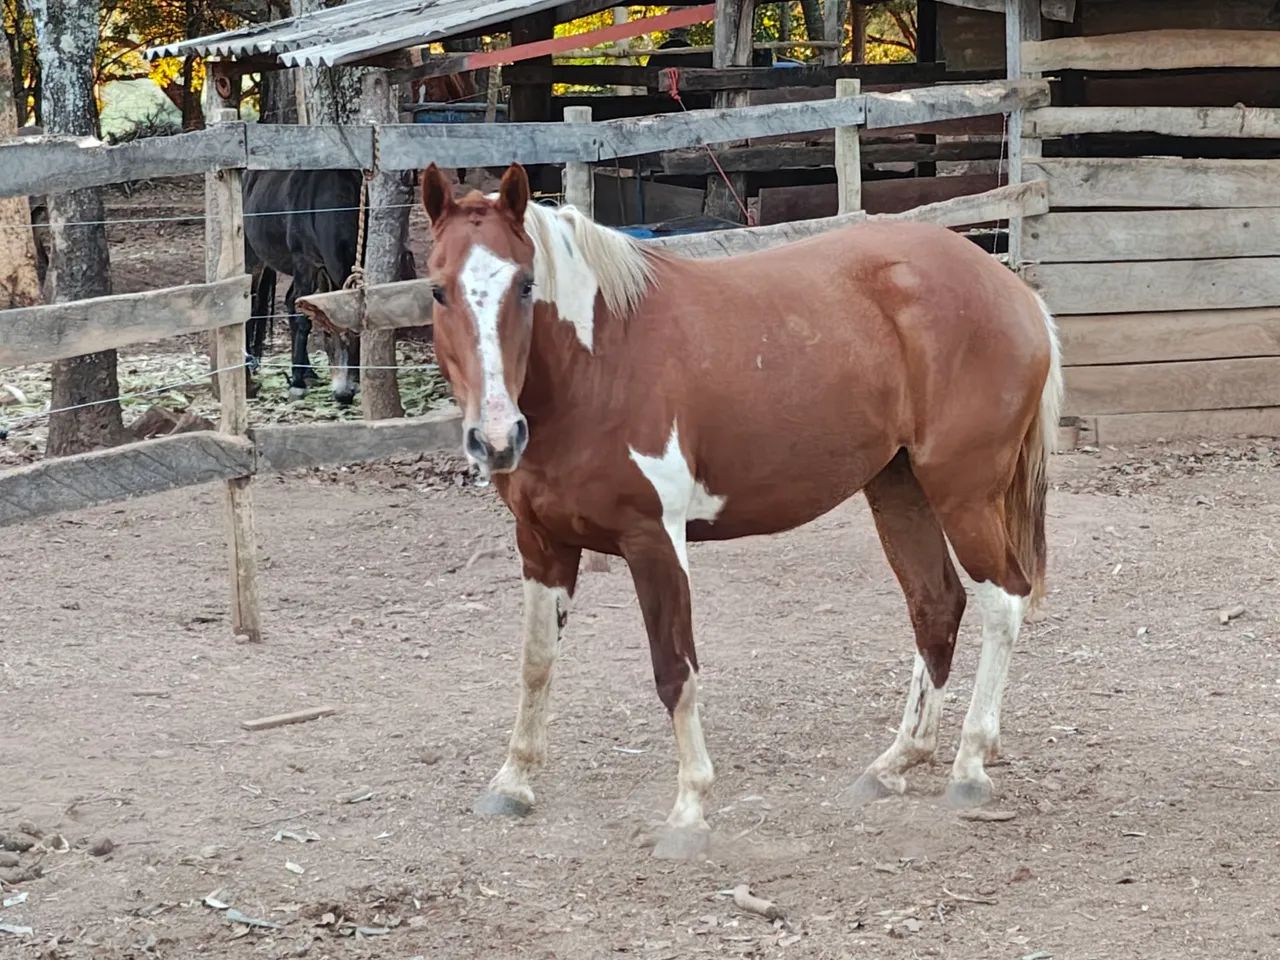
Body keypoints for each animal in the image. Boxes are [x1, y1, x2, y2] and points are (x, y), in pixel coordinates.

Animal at [418, 162, 1063, 859]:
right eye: (438, 290)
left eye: (526, 284)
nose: (496, 438)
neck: (598, 365)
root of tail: (1012, 290)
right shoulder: (541, 543)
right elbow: (535, 663)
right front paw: (512, 782)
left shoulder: (654, 541)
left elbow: (674, 671)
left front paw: (689, 810)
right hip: (899, 486)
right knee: (936, 605)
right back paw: (895, 762)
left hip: (962, 493)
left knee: (1004, 599)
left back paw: (969, 765)